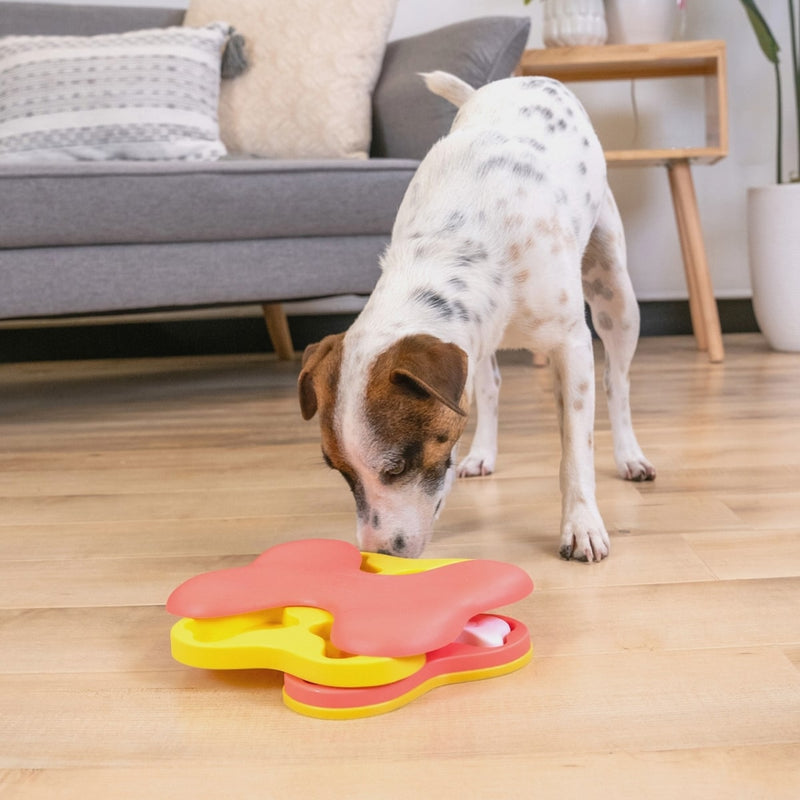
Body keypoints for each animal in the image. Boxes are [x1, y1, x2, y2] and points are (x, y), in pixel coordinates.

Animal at [296, 73, 652, 564]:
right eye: (339, 471)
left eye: (399, 465)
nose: (377, 556)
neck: (452, 244)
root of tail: (520, 80)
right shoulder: (472, 342)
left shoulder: (572, 343)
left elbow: (577, 451)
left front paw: (581, 524)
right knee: (490, 387)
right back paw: (484, 451)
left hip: (614, 292)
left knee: (616, 383)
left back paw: (628, 454)